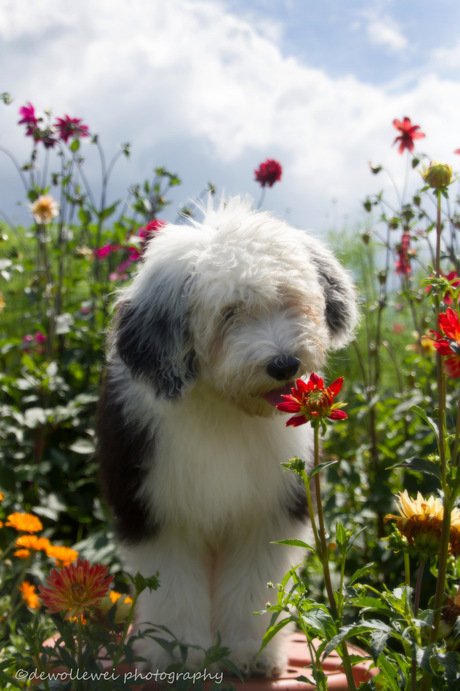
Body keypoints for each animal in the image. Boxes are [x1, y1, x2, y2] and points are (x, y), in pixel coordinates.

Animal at [96, 197, 356, 680]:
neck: (224, 410)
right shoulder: (159, 510)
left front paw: (251, 653)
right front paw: (178, 654)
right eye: (229, 314)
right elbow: (175, 589)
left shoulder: (266, 513)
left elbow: (252, 590)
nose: (284, 363)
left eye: (290, 300)